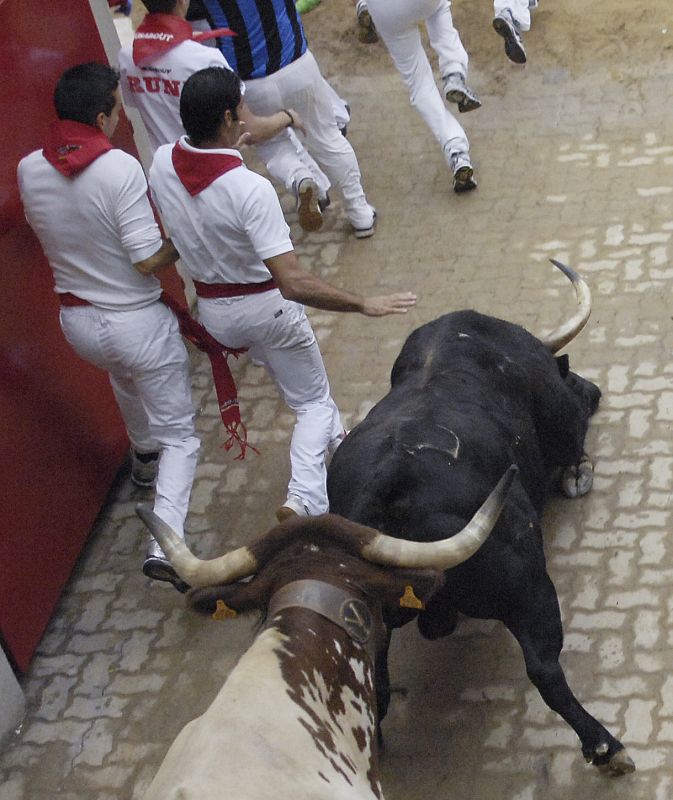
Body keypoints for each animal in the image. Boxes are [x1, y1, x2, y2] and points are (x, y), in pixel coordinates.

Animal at [328, 262, 632, 776]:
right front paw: (578, 471)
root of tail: (389, 480)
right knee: (545, 669)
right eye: (570, 379)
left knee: (377, 693)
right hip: (528, 584)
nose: (593, 389)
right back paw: (607, 748)